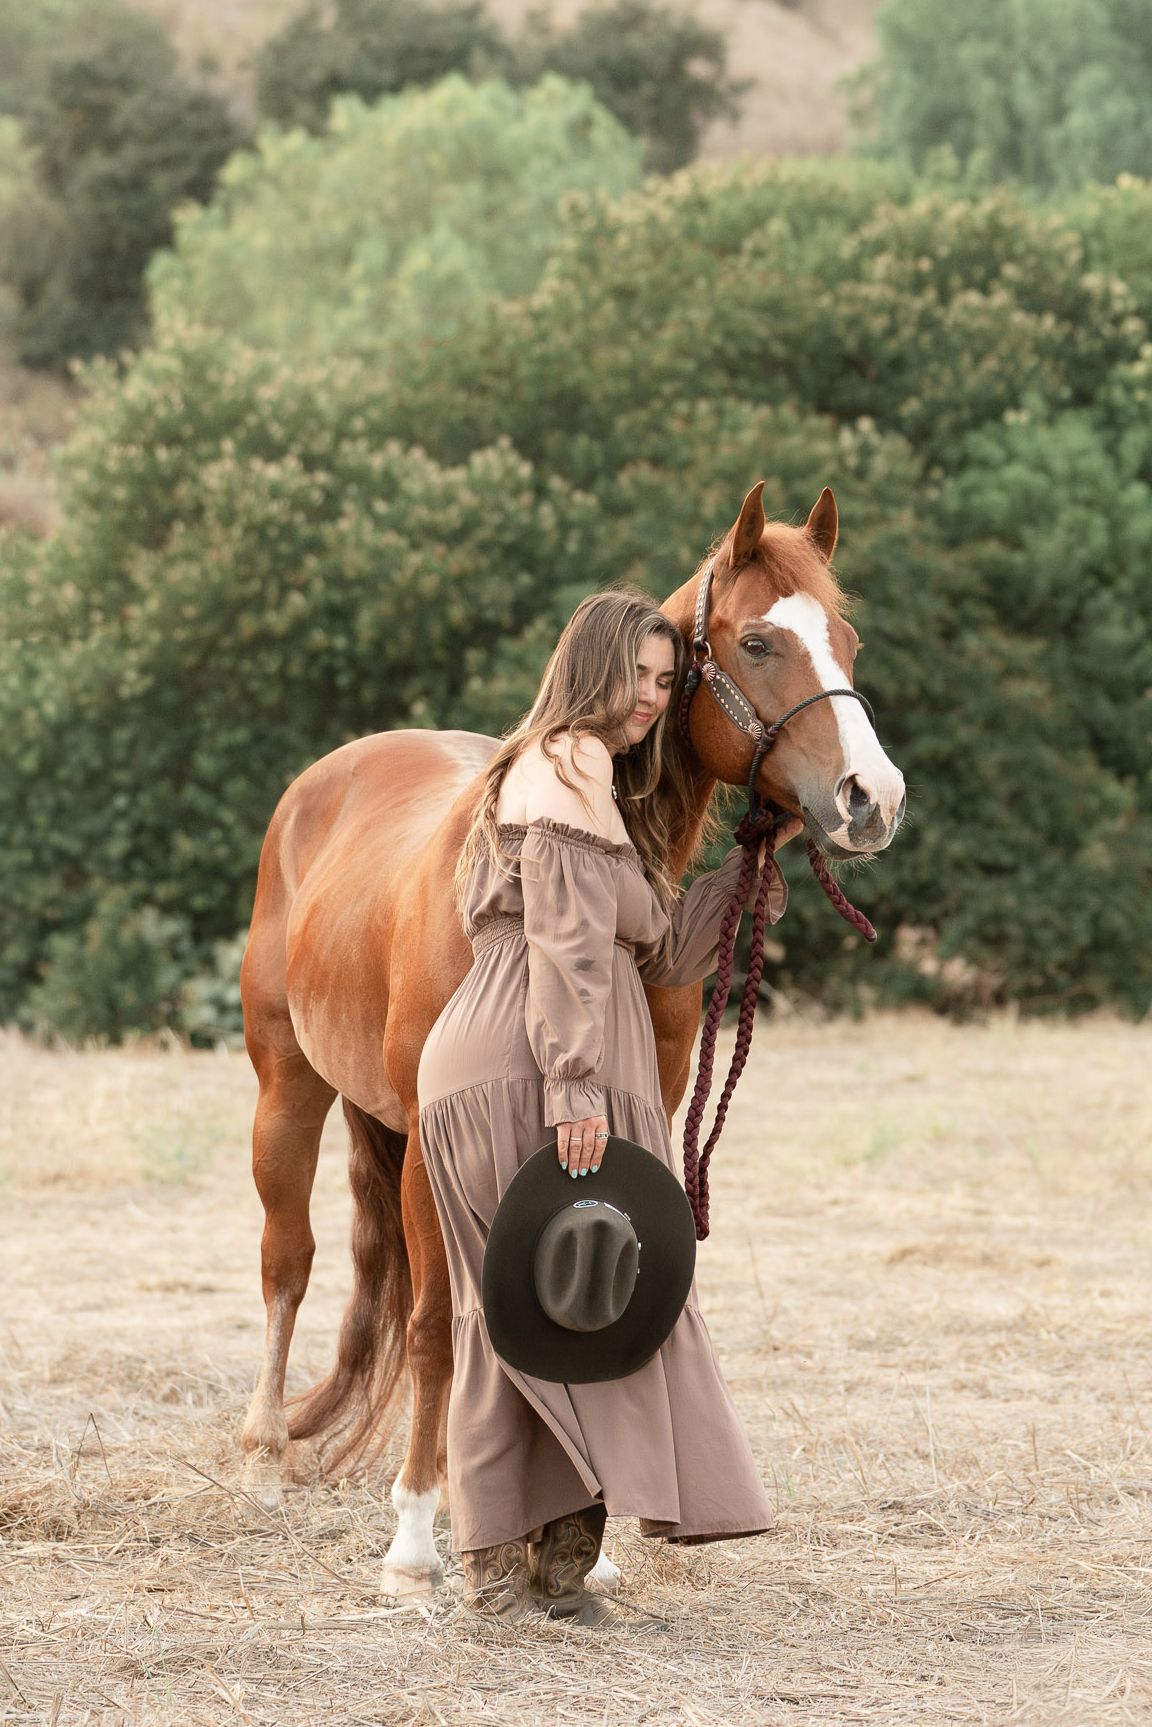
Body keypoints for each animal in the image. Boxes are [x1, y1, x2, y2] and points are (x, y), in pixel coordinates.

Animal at [238, 482, 906, 1597]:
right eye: (758, 641)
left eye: (846, 639)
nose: (873, 798)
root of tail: (323, 781)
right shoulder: (431, 1142)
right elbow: (436, 1325)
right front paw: (415, 1538)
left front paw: (583, 1542)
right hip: (288, 1092)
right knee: (288, 1261)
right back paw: (260, 1451)